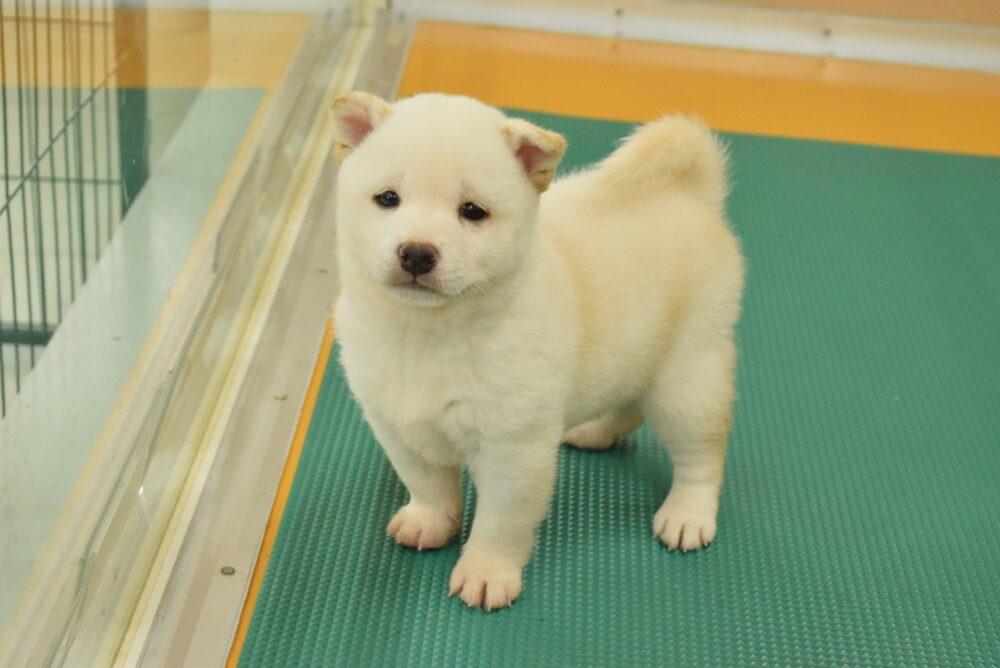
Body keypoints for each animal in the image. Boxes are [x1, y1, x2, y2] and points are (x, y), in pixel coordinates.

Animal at [330, 92, 743, 611]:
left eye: (472, 211)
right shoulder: (399, 427)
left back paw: (688, 514)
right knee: (628, 406)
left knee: (702, 454)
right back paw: (594, 431)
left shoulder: (513, 450)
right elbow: (428, 486)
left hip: (685, 382)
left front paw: (486, 573)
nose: (417, 252)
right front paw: (430, 522)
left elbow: (498, 524)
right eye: (387, 198)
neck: (426, 336)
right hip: (635, 359)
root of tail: (692, 197)